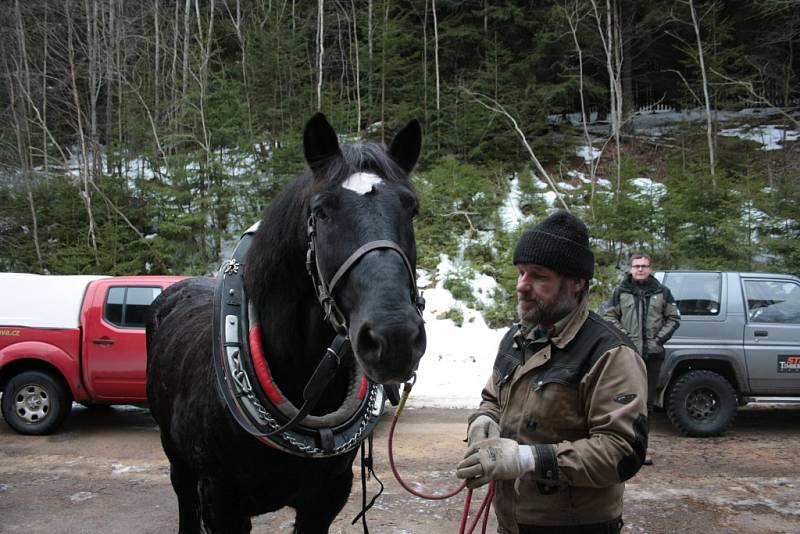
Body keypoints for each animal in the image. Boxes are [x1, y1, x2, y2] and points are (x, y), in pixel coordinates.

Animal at [147, 114, 428, 534]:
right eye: (323, 211)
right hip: (177, 460)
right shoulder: (221, 502)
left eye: (411, 209)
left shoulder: (325, 499)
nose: (394, 337)